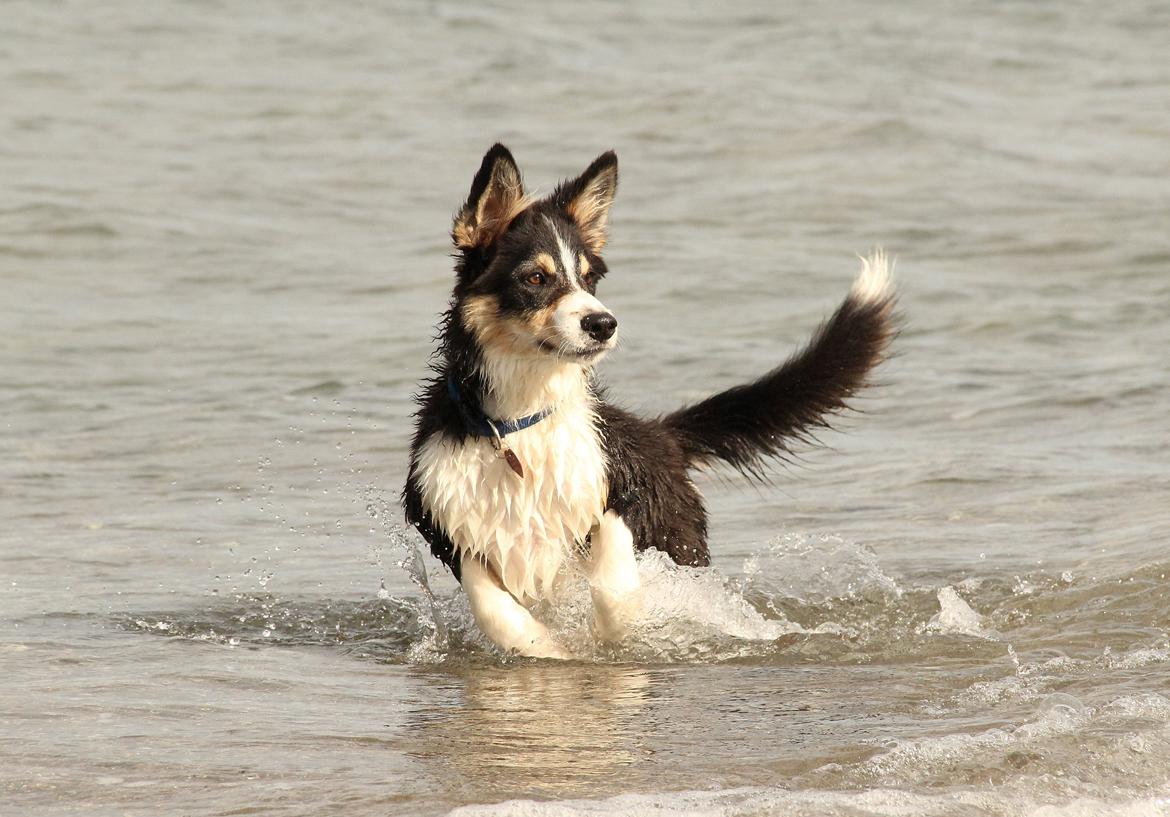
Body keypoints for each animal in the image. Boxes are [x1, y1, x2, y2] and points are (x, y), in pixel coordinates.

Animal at [402, 144, 893, 655]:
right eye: (535, 277)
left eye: (588, 278)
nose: (603, 324)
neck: (521, 422)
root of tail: (660, 433)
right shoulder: (446, 526)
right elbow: (496, 610)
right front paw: (549, 648)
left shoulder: (622, 492)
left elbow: (612, 587)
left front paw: (624, 634)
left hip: (682, 541)